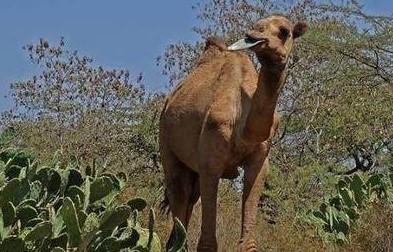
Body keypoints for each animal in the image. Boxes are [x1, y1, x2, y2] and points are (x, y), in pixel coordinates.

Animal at [159, 15, 306, 250]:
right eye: (256, 25)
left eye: (285, 31)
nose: (253, 36)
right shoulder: (211, 161)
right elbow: (208, 243)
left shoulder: (260, 159)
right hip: (166, 141)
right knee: (179, 193)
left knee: (189, 198)